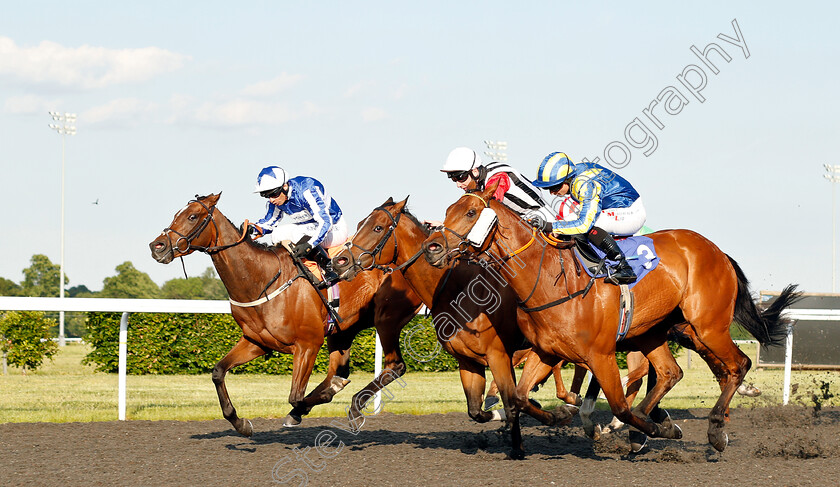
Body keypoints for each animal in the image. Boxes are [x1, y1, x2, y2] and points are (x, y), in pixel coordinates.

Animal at [148, 194, 424, 434]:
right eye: (177, 214)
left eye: (192, 216)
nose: (156, 246)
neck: (261, 279)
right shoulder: (256, 342)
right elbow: (218, 372)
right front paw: (240, 423)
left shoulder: (308, 345)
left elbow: (295, 396)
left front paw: (313, 402)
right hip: (343, 329)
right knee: (339, 370)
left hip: (386, 320)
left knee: (394, 366)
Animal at [334, 196, 592, 460]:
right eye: (359, 224)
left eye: (377, 228)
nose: (339, 261)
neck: (458, 291)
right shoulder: (468, 361)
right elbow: (476, 411)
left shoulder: (498, 355)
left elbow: (511, 402)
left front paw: (519, 446)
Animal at [424, 183, 796, 454]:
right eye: (447, 212)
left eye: (471, 212)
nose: (432, 247)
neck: (547, 280)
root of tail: (717, 251)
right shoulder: (546, 352)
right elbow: (519, 397)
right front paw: (558, 416)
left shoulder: (599, 355)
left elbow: (617, 405)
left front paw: (654, 427)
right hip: (655, 332)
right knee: (670, 372)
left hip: (707, 327)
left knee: (736, 365)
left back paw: (715, 430)